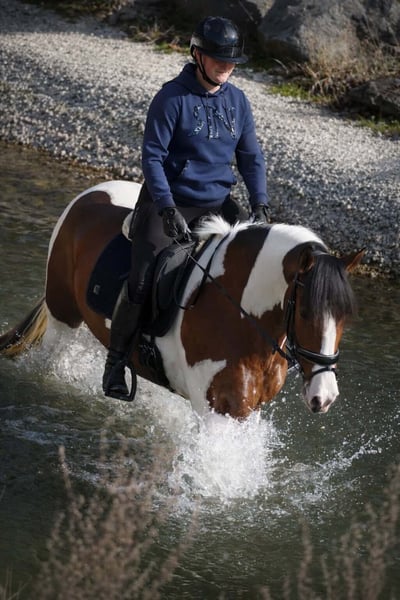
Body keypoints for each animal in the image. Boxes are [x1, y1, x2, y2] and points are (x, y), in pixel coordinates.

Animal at [0, 180, 364, 419]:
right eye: (304, 312)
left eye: (345, 318)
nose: (325, 397)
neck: (242, 312)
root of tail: (88, 197)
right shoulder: (216, 406)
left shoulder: (248, 408)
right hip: (63, 318)